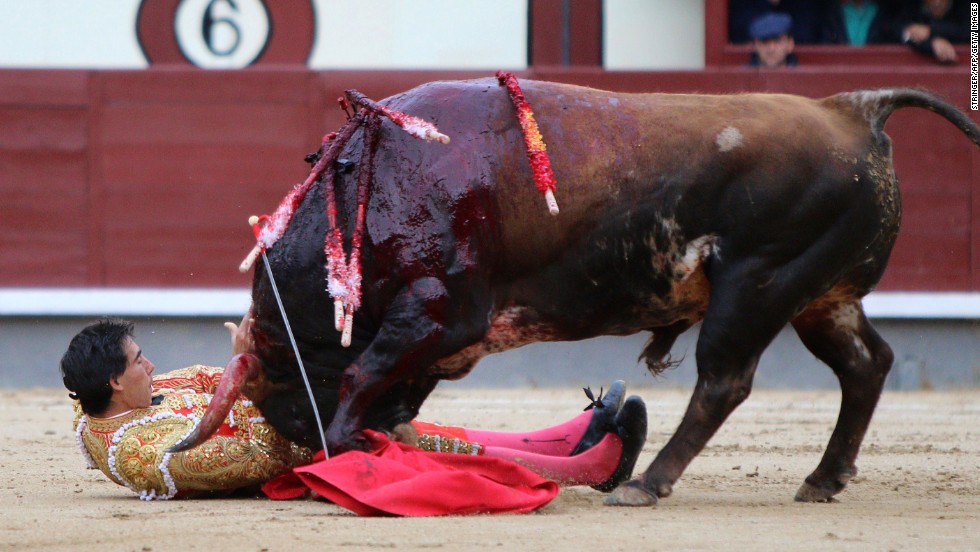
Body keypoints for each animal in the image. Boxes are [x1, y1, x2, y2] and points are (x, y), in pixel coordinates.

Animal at [174, 76, 980, 504]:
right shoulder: (439, 335)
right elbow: (387, 381)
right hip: (821, 294)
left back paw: (647, 482)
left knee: (725, 381)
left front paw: (349, 445)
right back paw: (823, 476)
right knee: (866, 365)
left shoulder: (436, 310)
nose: (301, 443)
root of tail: (854, 106)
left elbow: (365, 371)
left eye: (282, 391)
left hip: (757, 284)